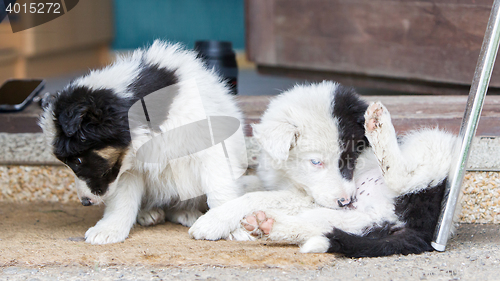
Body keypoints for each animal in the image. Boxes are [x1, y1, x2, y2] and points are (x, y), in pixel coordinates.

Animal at [40, 40, 246, 244]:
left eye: (77, 161)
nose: (85, 202)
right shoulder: (126, 170)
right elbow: (122, 199)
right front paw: (110, 229)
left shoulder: (211, 147)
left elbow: (220, 187)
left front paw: (224, 225)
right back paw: (150, 213)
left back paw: (186, 212)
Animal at [188, 81, 458, 256]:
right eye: (316, 162)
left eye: (351, 157)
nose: (346, 201)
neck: (289, 175)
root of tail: (425, 226)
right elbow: (253, 186)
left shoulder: (305, 197)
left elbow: (255, 197)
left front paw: (214, 220)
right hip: (360, 221)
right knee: (324, 226)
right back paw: (271, 226)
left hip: (433, 145)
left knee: (402, 177)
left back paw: (379, 125)